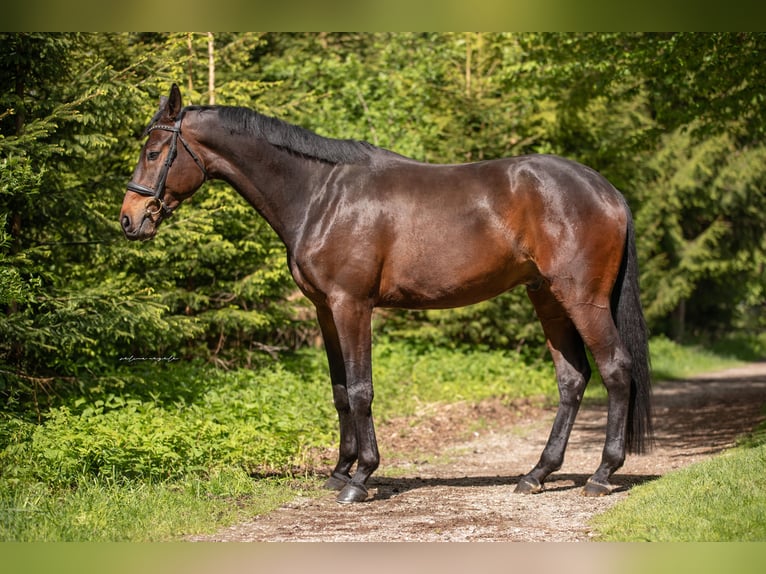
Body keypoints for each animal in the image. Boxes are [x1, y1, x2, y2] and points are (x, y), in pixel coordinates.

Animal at [121, 84, 652, 503]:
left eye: (154, 152)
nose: (129, 219)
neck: (321, 194)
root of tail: (605, 189)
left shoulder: (352, 305)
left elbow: (361, 389)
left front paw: (361, 479)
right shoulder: (325, 309)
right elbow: (339, 391)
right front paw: (339, 473)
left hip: (581, 299)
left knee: (615, 369)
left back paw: (602, 474)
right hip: (546, 298)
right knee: (572, 379)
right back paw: (536, 474)